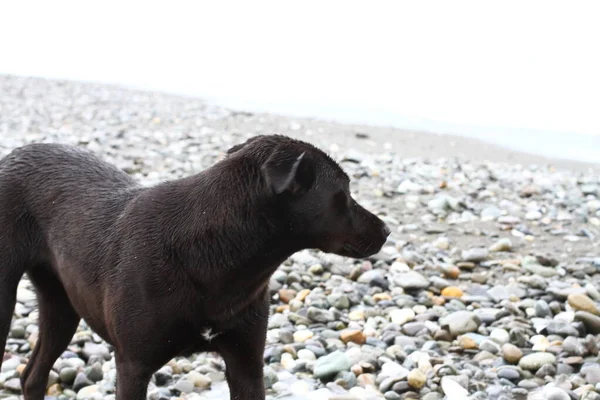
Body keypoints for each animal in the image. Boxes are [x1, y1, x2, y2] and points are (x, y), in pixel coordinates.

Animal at [0, 134, 392, 400]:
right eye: (344, 194)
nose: (387, 230)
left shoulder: (247, 364)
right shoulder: (133, 367)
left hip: (62, 305)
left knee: (33, 375)